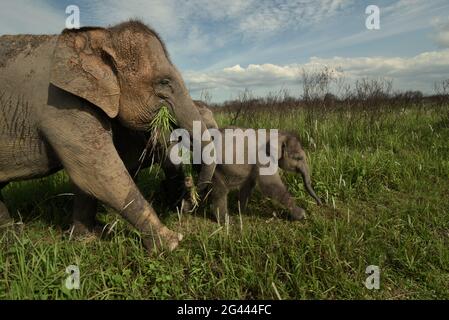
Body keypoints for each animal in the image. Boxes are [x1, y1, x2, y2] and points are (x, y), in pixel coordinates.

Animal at [0, 21, 215, 254]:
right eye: (164, 82)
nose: (193, 197)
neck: (103, 35)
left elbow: (88, 176)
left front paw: (85, 238)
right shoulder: (60, 105)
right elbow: (98, 173)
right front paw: (172, 243)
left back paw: (12, 237)